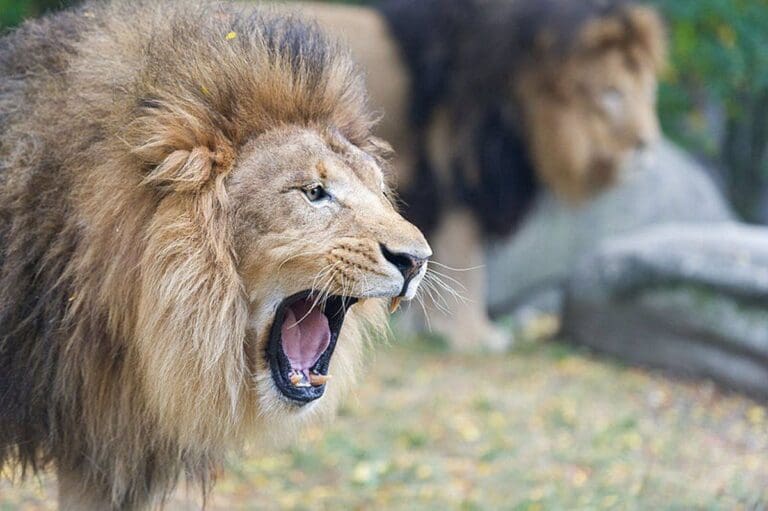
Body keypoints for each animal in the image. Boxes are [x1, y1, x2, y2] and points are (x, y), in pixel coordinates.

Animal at [288, 0, 666, 351]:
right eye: (612, 93)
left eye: (648, 92)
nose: (647, 145)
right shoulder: (460, 180)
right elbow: (466, 260)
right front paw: (471, 337)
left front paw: (429, 327)